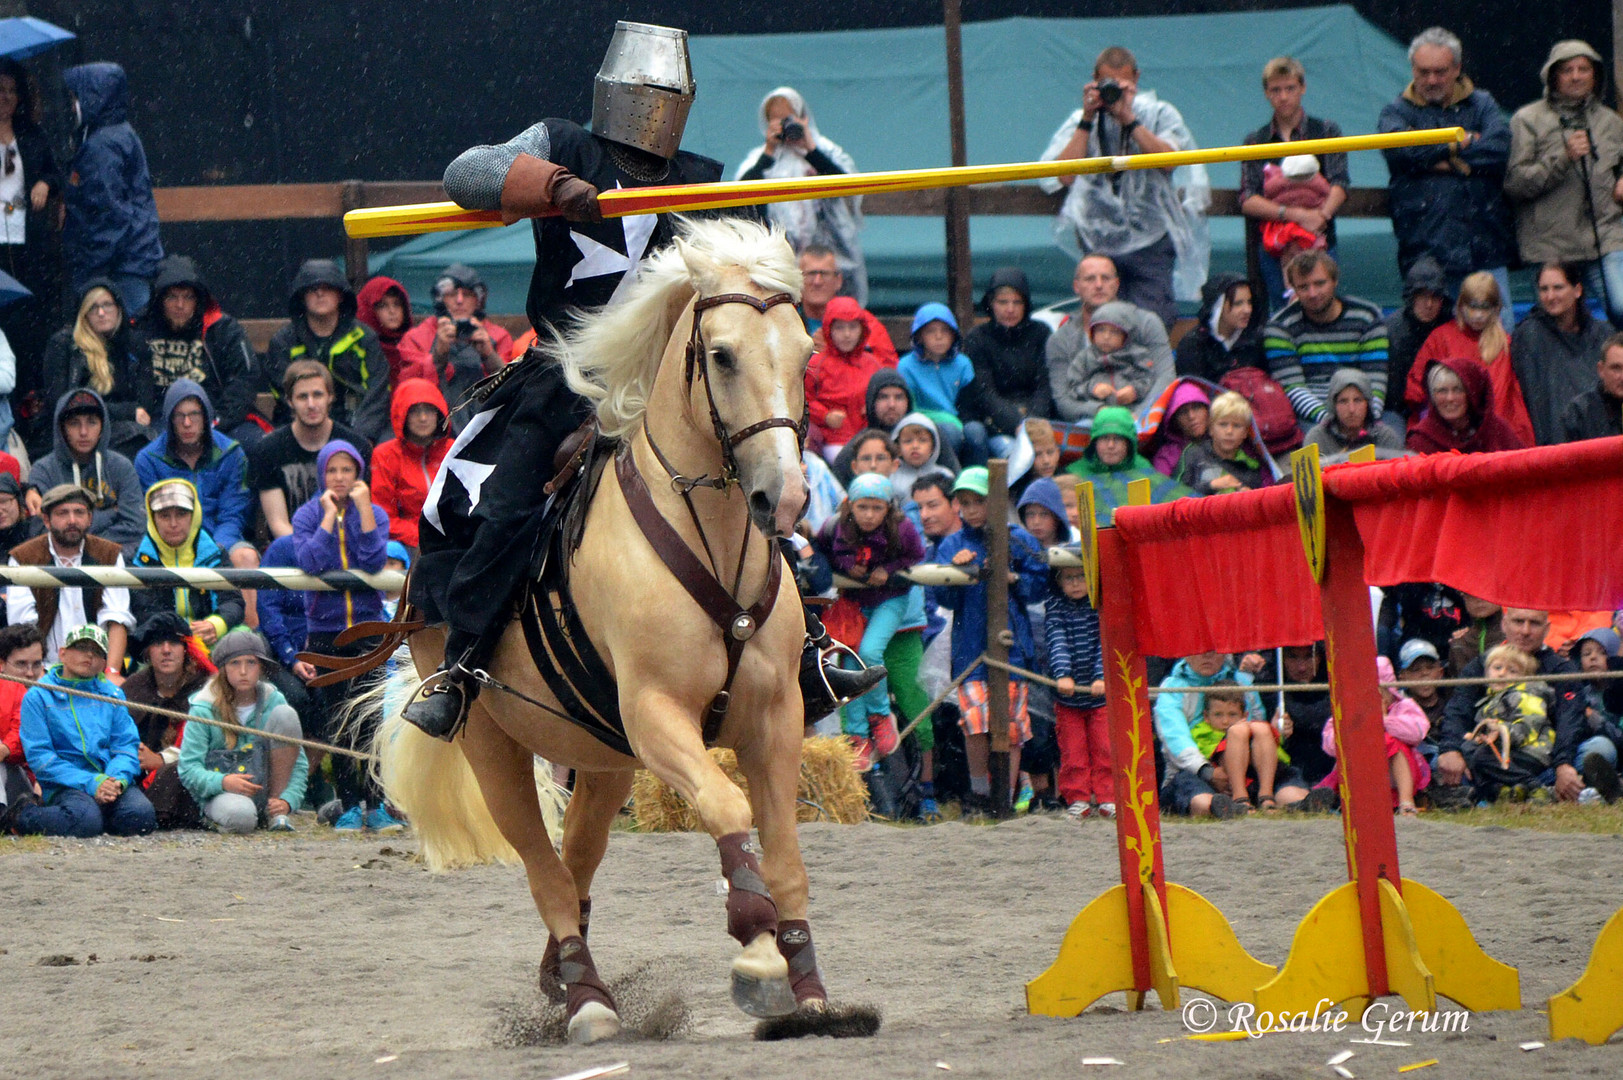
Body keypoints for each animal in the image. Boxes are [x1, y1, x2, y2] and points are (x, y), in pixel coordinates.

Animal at [371, 220, 817, 1045]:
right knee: (543, 866)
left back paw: (562, 976)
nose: (786, 496)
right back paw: (586, 999)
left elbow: (786, 858)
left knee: (578, 854)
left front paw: (809, 991)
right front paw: (758, 956)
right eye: (721, 355)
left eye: (805, 353)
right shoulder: (656, 716)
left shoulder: (775, 721)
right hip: (494, 746)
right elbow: (727, 809)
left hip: (602, 756)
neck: (704, 533)